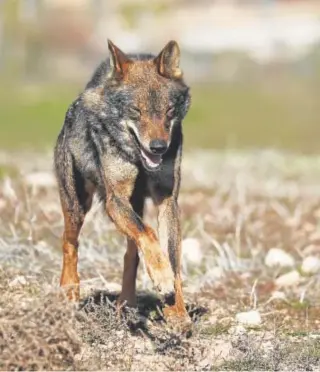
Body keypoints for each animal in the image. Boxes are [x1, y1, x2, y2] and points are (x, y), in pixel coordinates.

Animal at [53, 39, 191, 326]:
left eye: (169, 111)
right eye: (136, 111)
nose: (159, 148)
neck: (137, 158)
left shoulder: (167, 200)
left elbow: (171, 259)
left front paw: (177, 311)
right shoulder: (115, 200)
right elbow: (147, 233)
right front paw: (162, 278)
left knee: (131, 253)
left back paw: (126, 304)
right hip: (77, 206)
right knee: (69, 244)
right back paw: (69, 291)